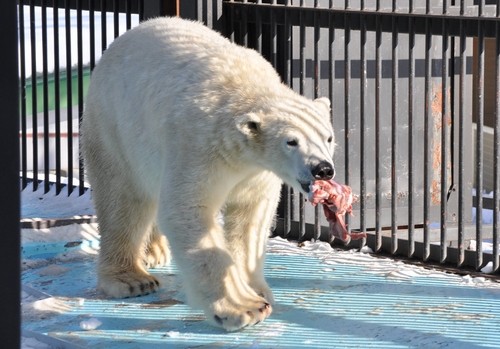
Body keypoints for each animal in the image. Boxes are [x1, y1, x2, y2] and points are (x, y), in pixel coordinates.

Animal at [80, 16, 334, 330]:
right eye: (292, 141)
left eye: (328, 137)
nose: (323, 169)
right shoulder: (200, 147)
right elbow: (189, 210)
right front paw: (244, 307)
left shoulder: (256, 172)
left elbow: (251, 217)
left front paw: (257, 290)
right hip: (114, 129)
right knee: (123, 200)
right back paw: (131, 279)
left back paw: (154, 250)